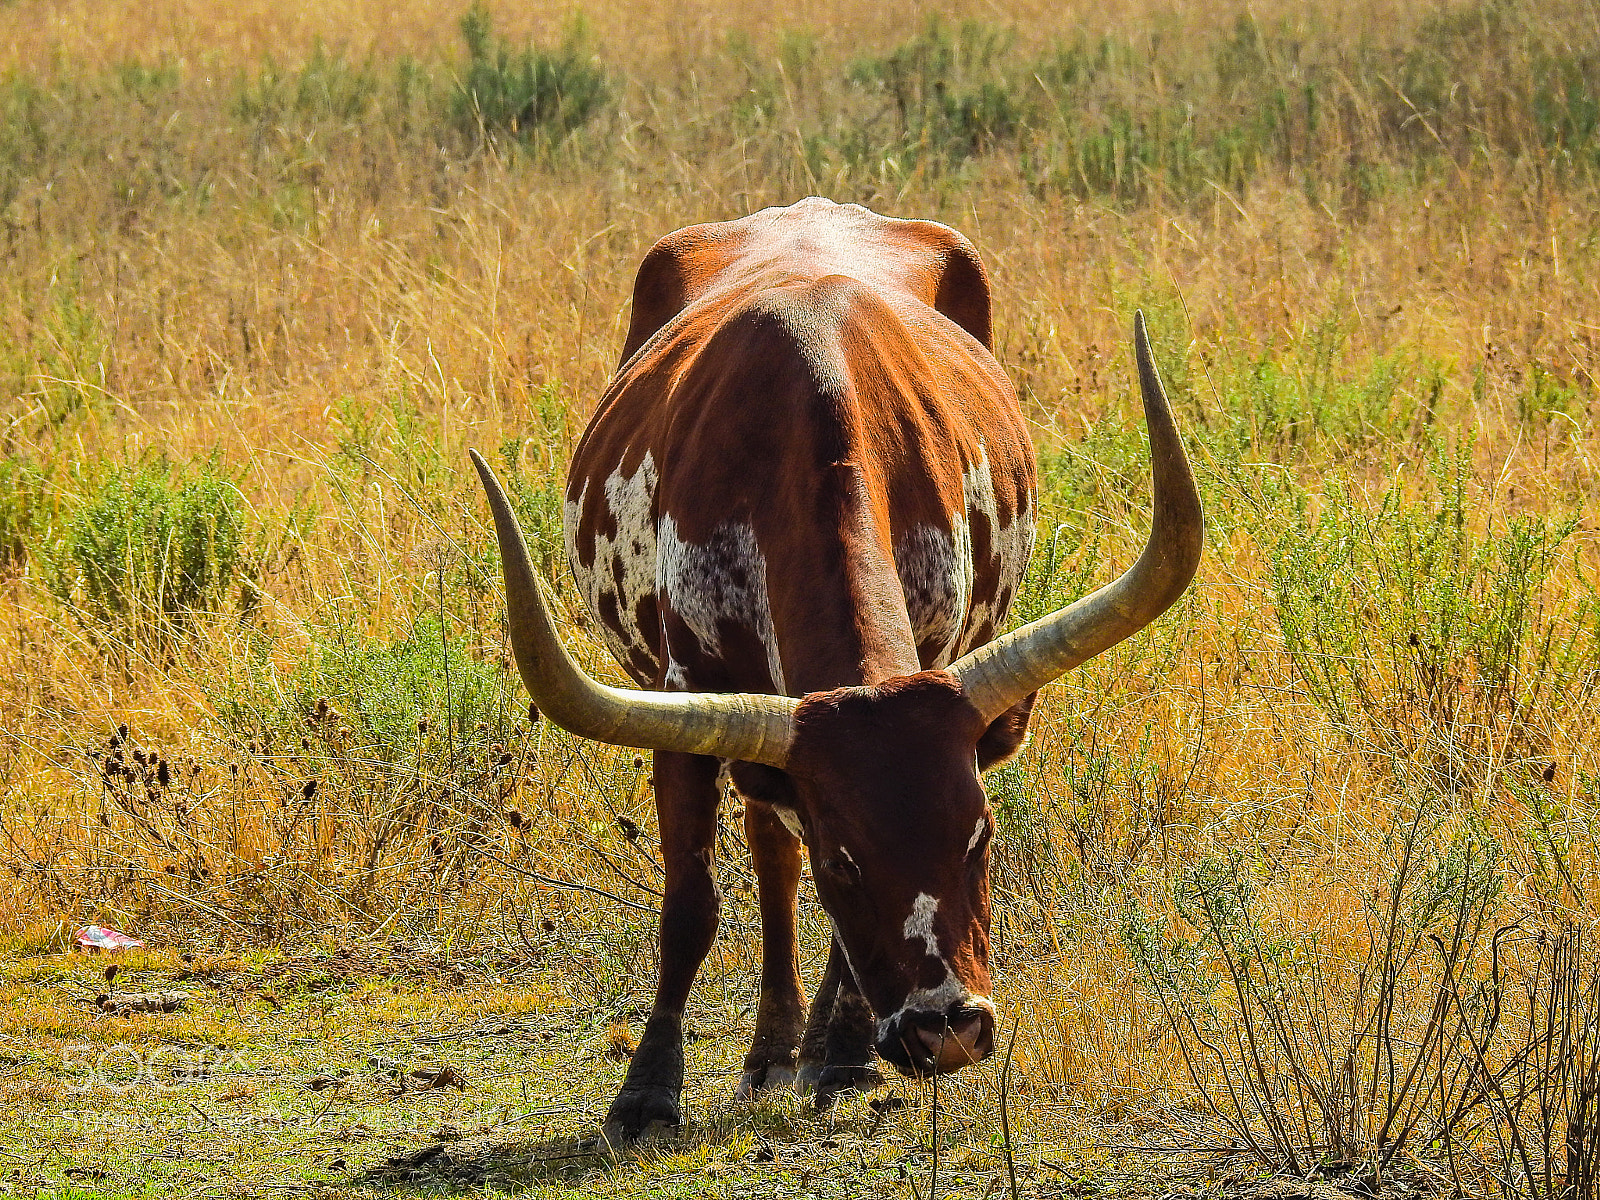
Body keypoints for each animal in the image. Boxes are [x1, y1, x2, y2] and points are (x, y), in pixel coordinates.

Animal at [469, 196, 1202, 1142]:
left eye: (981, 836)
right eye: (844, 863)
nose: (947, 1029)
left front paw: (847, 1054)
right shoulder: (684, 703)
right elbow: (692, 904)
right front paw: (646, 1090)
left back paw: (814, 1045)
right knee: (766, 847)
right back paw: (771, 1049)